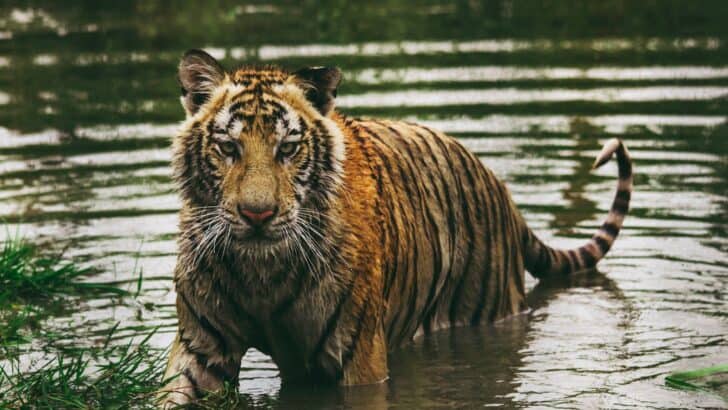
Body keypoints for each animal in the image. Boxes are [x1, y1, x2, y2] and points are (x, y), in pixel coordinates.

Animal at [158, 49, 633, 407]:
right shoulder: (201, 349)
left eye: (288, 149)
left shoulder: (357, 357)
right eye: (228, 147)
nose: (257, 214)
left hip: (486, 311)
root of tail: (502, 190)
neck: (261, 273)